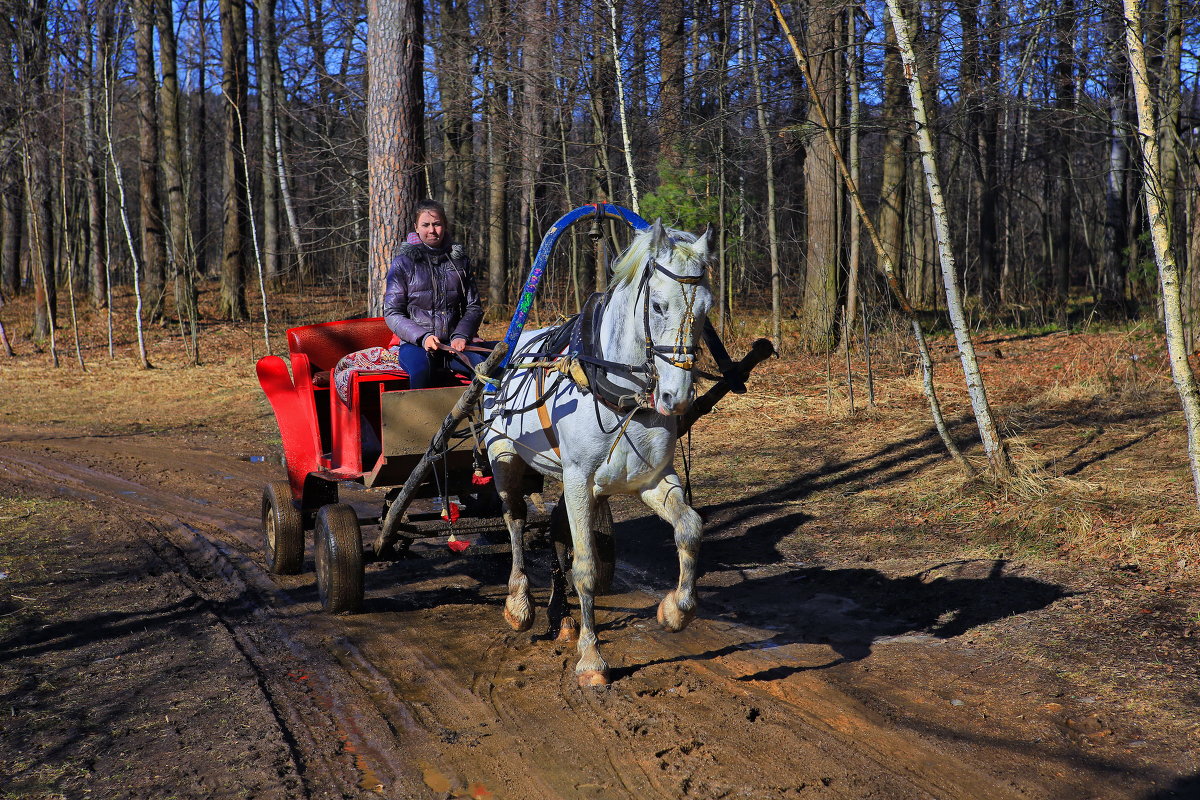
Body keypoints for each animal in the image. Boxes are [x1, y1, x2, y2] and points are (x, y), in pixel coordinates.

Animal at [484, 220, 715, 690]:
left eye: (705, 309)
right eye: (658, 305)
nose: (677, 397)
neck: (621, 394)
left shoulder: (651, 480)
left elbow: (690, 528)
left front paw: (676, 610)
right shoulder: (578, 478)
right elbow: (587, 566)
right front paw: (591, 657)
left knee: (556, 534)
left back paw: (561, 614)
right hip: (504, 456)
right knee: (514, 520)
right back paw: (519, 602)